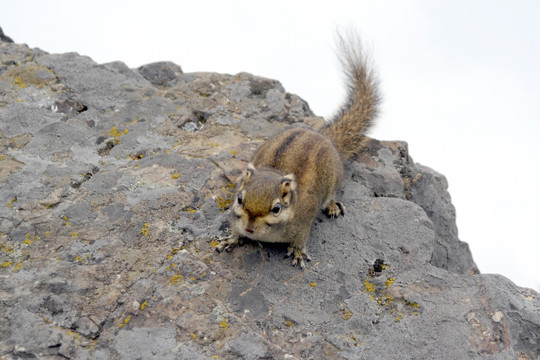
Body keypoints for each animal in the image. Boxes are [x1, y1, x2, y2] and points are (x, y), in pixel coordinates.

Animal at [215, 33, 380, 268]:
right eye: (239, 199)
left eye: (276, 208)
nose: (249, 229)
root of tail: (324, 136)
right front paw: (232, 238)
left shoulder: (304, 219)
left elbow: (300, 238)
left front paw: (298, 251)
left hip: (333, 181)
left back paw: (332, 206)